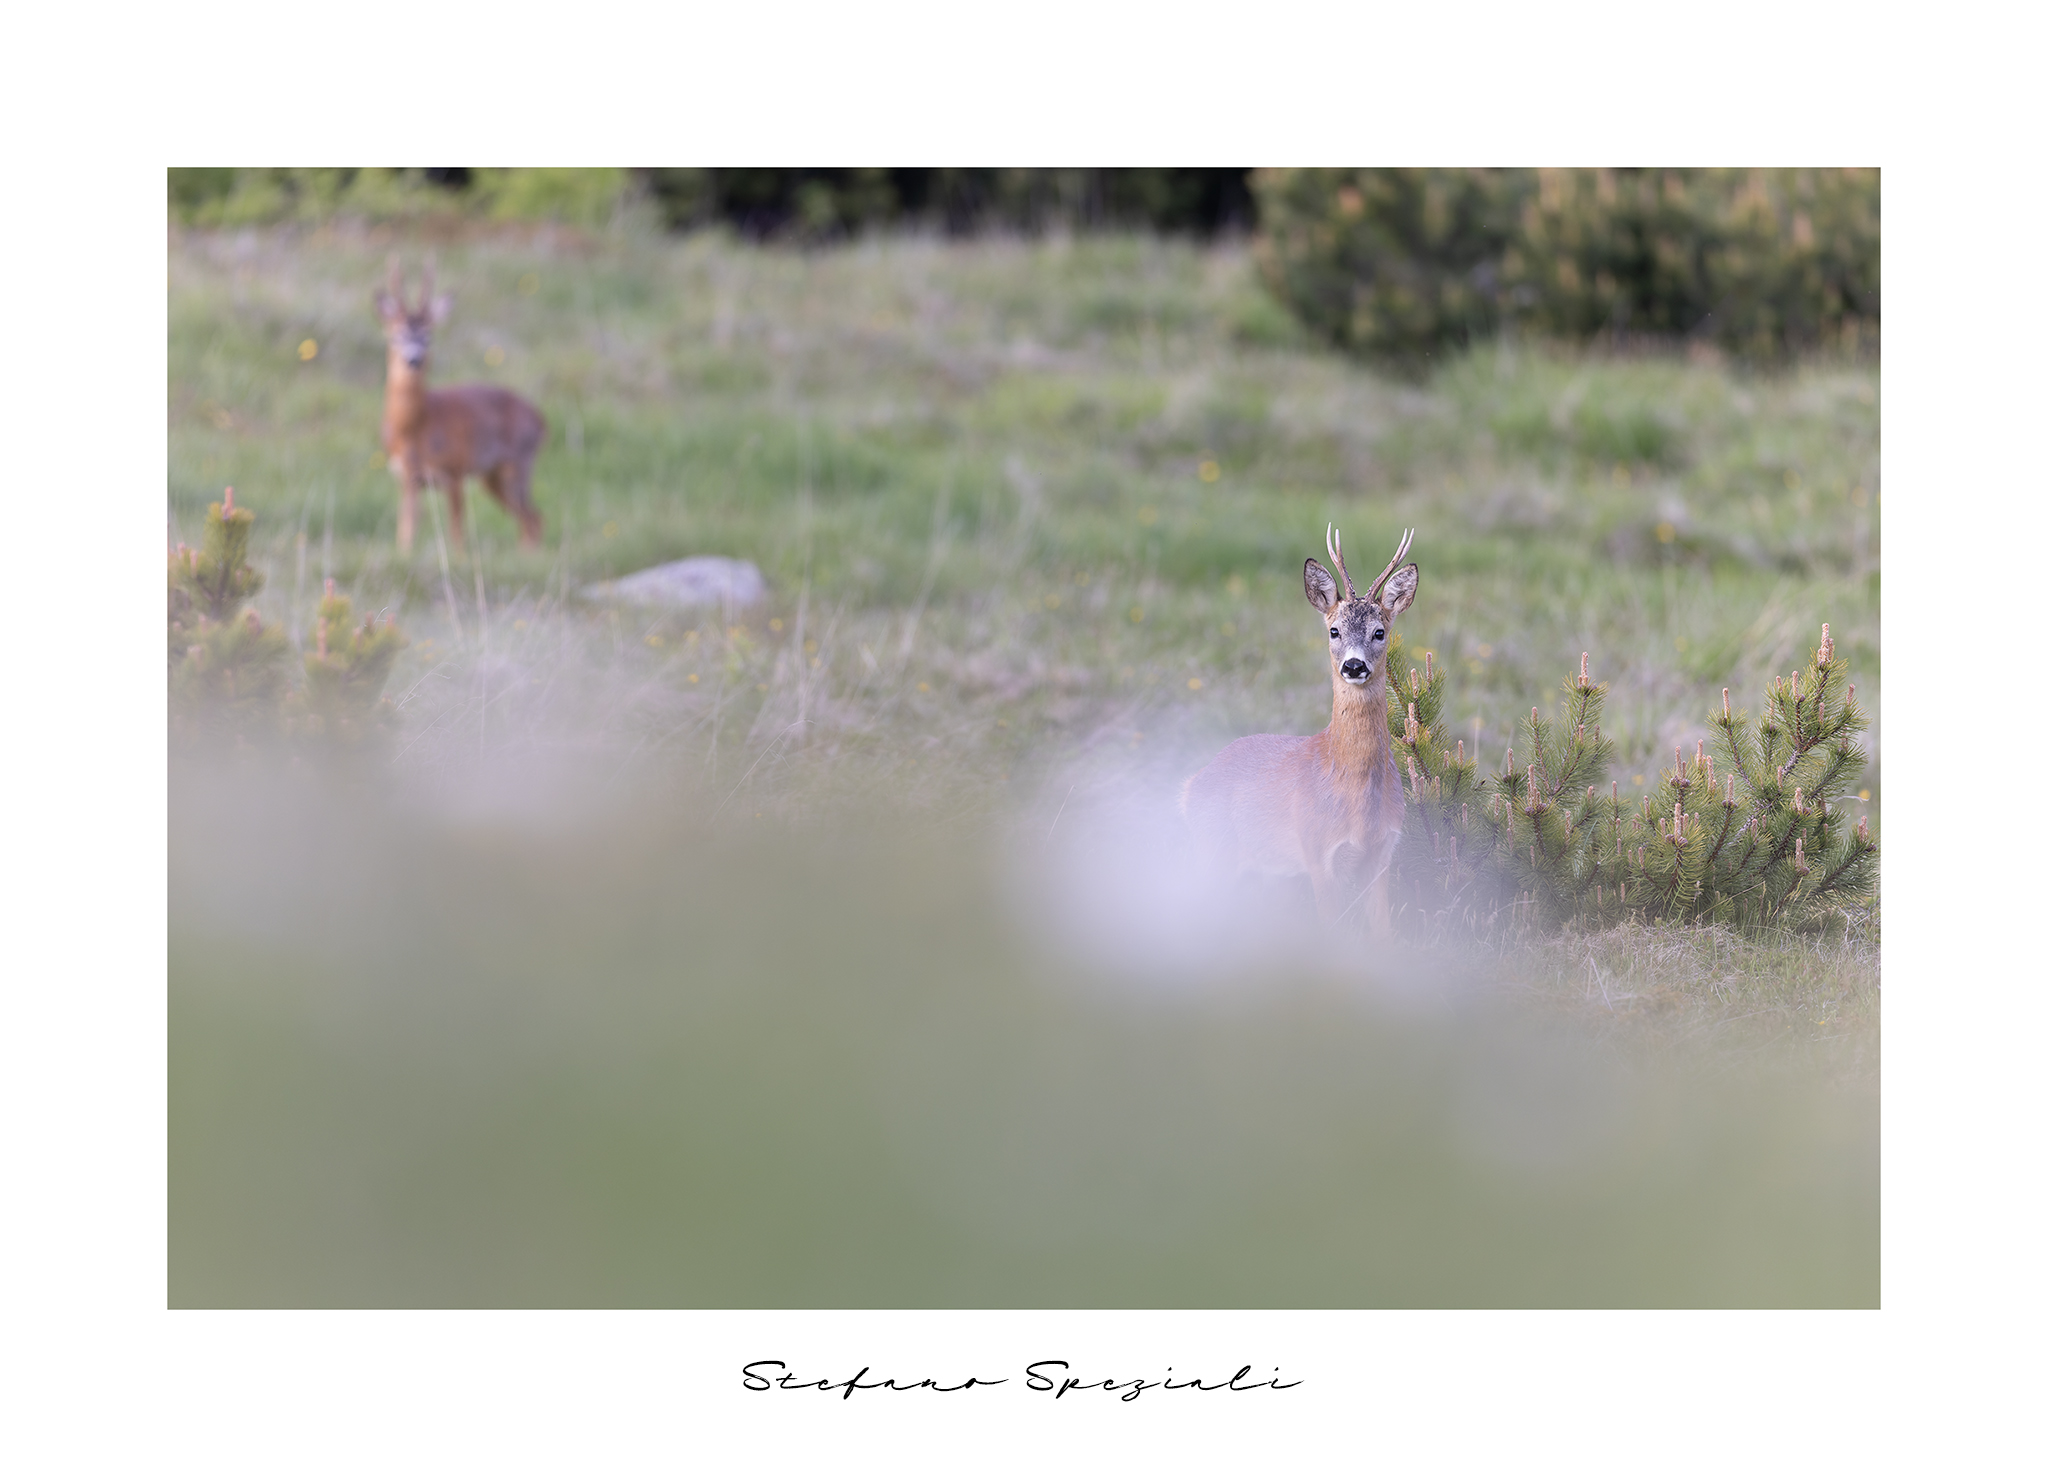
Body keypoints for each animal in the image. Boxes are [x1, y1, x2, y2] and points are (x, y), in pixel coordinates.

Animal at [376, 257, 546, 555]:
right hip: (492, 477)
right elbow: (405, 532)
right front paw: (404, 554)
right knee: (530, 519)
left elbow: (457, 535)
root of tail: (541, 420)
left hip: (518, 464)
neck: (414, 427)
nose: (414, 360)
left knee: (534, 518)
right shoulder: (407, 478)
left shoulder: (454, 471)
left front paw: (459, 559)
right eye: (395, 336)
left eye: (428, 336)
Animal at [1180, 525, 1419, 935]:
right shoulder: (1317, 852)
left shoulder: (1382, 856)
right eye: (1334, 630)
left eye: (1379, 632)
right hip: (1213, 852)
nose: (1354, 666)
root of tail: (1192, 783)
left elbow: (1382, 935)